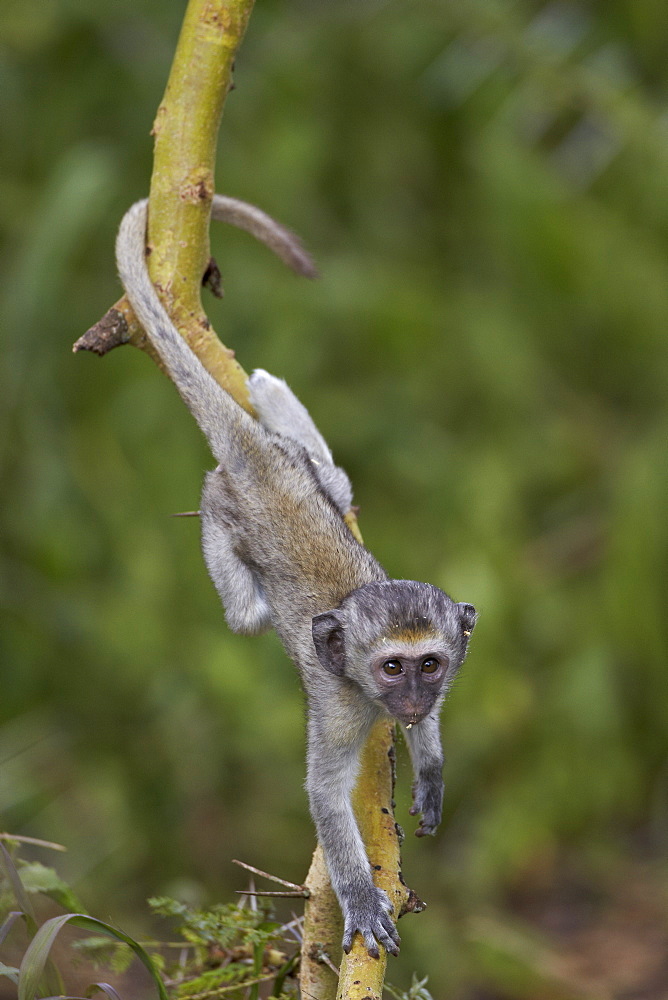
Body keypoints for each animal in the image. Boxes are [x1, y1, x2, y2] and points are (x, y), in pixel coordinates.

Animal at [117, 199, 478, 956]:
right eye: (392, 668)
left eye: (430, 665)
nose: (410, 701)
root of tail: (255, 456)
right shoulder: (343, 706)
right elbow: (323, 794)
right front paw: (360, 898)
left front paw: (429, 766)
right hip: (225, 513)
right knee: (244, 611)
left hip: (304, 469)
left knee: (336, 482)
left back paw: (271, 394)